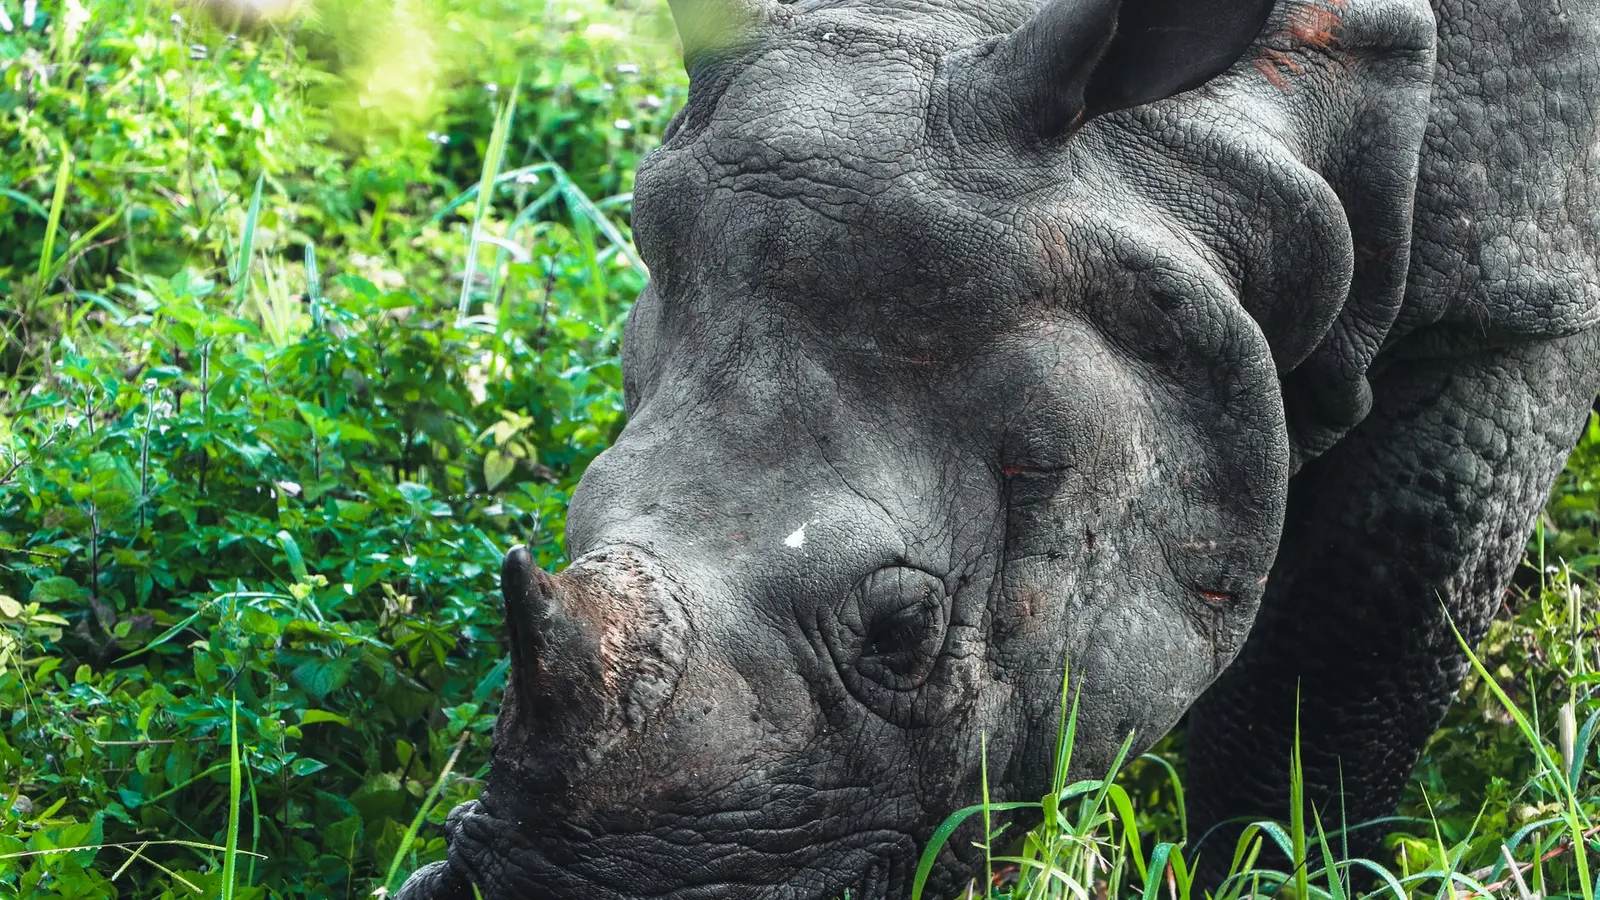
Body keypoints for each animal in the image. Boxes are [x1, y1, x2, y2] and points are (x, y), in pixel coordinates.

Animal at [398, 0, 1600, 895]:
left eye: (902, 633)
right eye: (575, 517)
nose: (558, 889)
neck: (1224, 136)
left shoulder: (1519, 301)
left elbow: (1336, 669)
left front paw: (1272, 875)